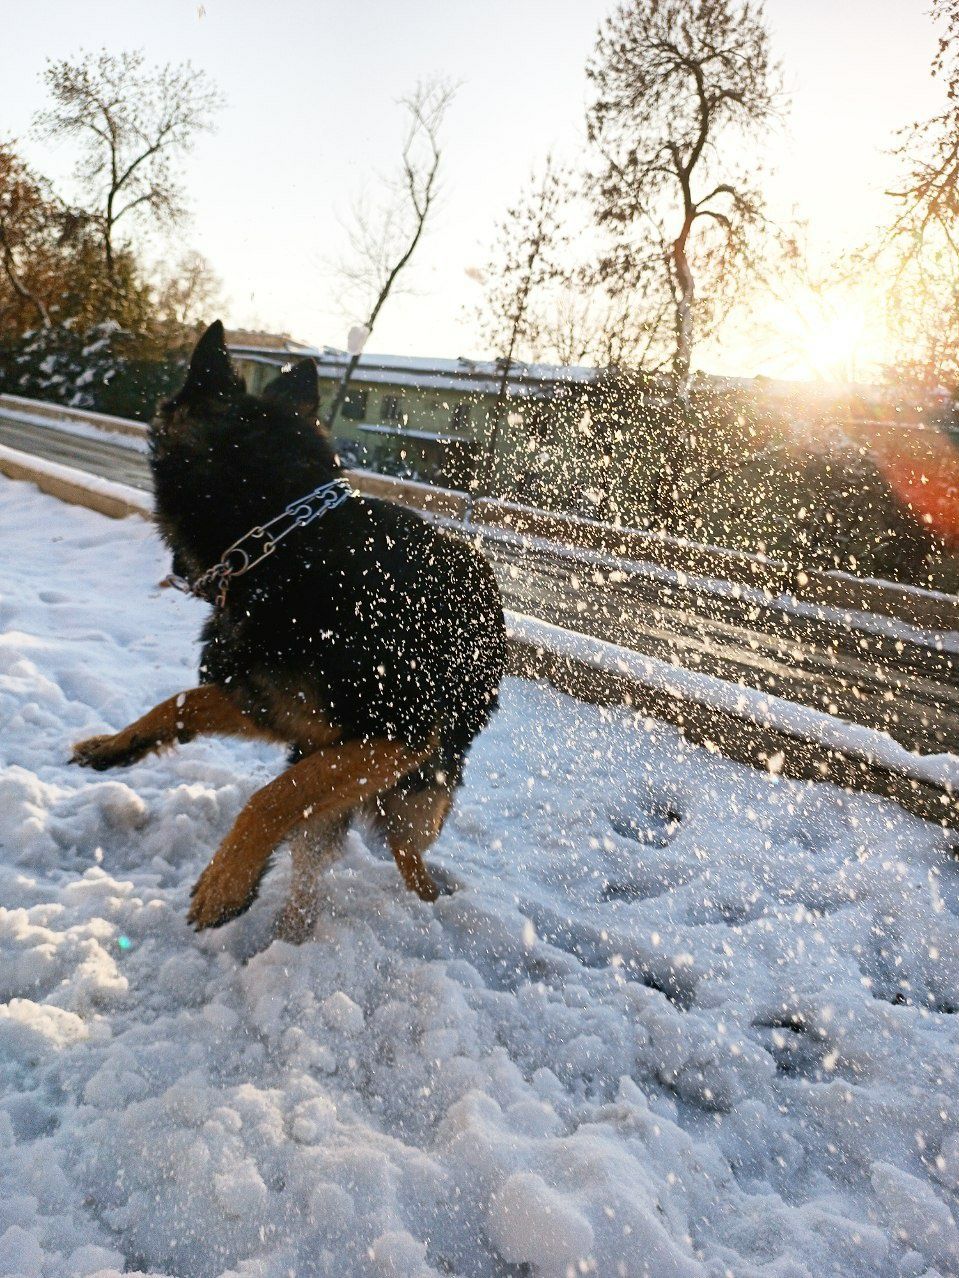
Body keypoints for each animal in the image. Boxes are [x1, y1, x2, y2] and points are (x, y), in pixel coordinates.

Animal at [71, 324, 506, 935]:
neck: (286, 541)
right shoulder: (274, 708)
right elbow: (180, 703)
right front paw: (117, 745)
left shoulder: (397, 734)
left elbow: (270, 798)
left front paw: (225, 883)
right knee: (320, 848)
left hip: (418, 791)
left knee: (405, 859)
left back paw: (430, 911)